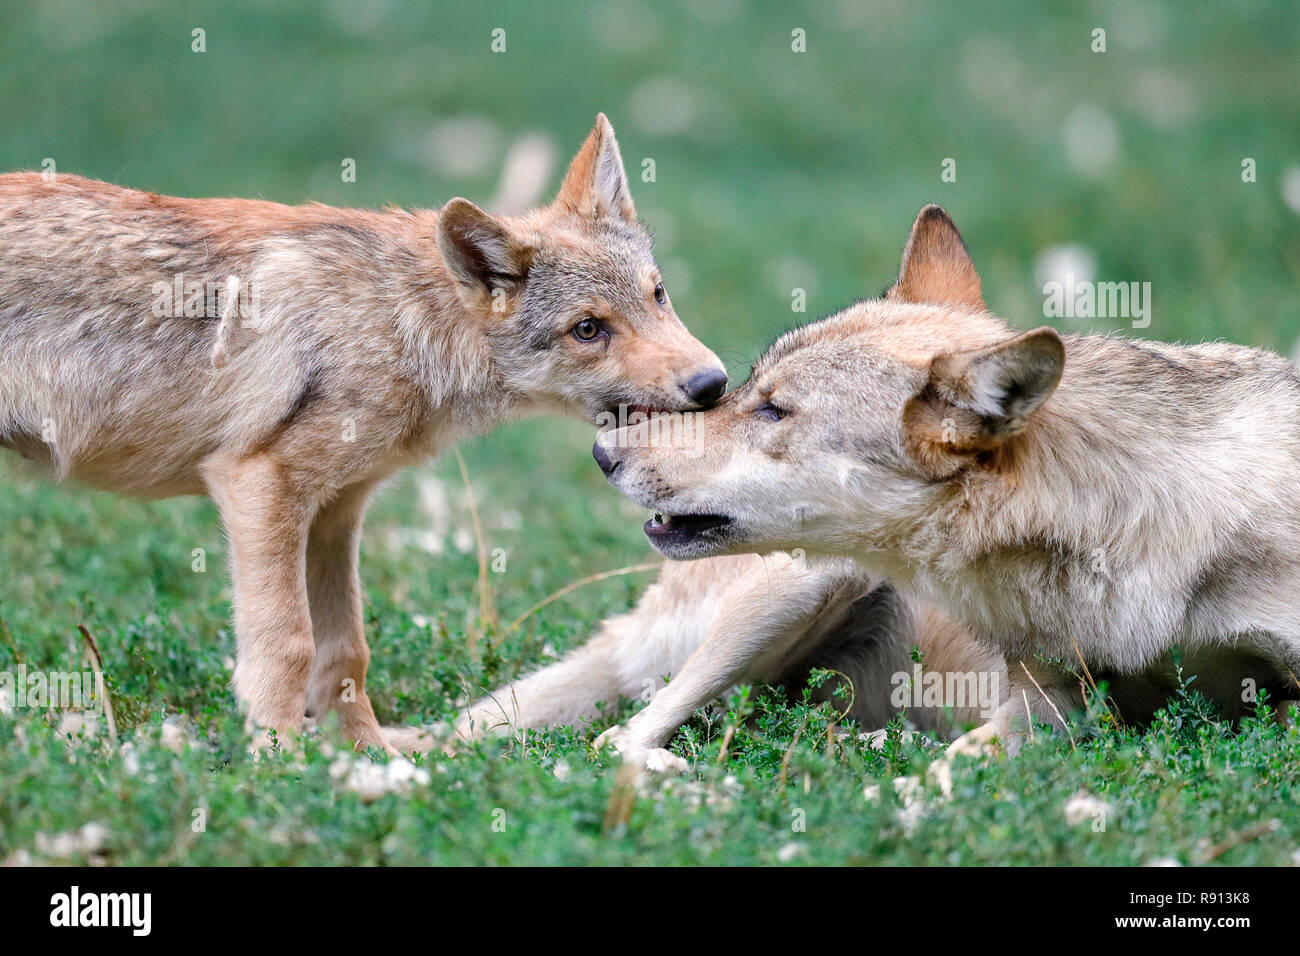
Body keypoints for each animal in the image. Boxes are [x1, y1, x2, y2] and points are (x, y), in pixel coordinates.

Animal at [0, 113, 728, 754]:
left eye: (658, 295)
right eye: (589, 329)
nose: (713, 383)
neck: (398, 321)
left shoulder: (335, 511)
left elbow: (345, 651)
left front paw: (366, 755)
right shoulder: (259, 485)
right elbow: (286, 644)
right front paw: (284, 763)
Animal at [569, 205, 1300, 759]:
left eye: (773, 410)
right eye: (746, 389)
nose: (603, 453)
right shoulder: (1043, 695)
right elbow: (956, 766)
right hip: (805, 586)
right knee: (623, 738)